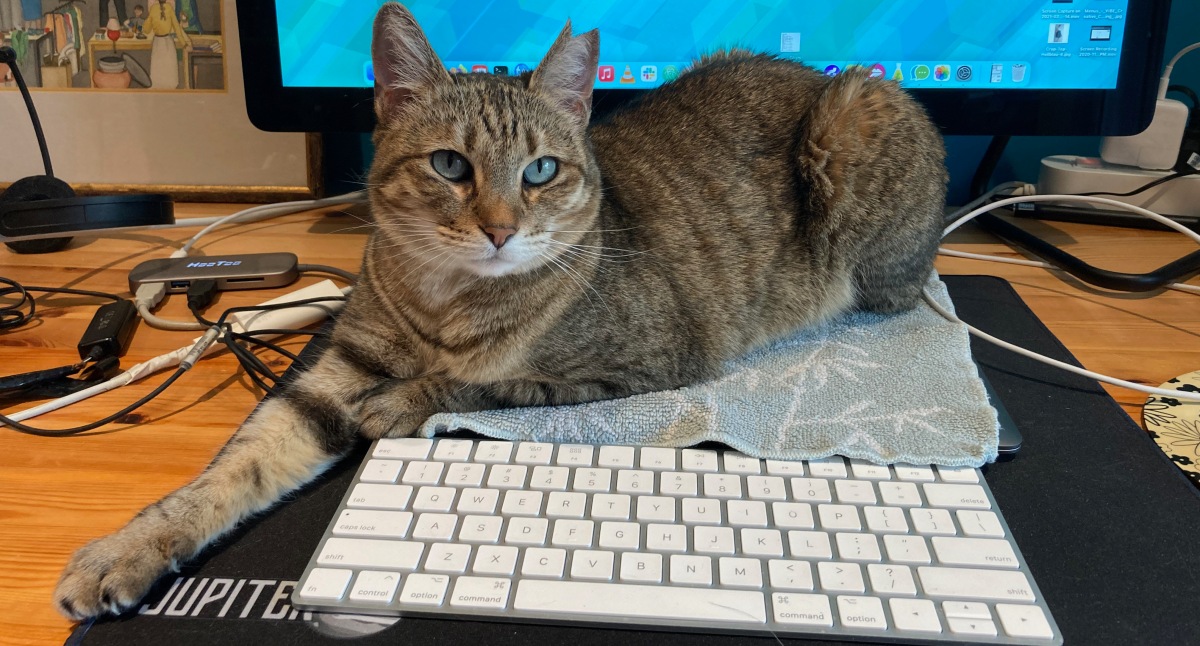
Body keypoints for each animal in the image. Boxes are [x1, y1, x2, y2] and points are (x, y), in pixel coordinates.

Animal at [54, 0, 945, 614]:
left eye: (542, 170)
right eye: (450, 164)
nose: (499, 227)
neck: (447, 298)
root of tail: (832, 77)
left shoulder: (638, 362)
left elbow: (482, 380)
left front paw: (404, 401)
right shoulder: (335, 368)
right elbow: (235, 463)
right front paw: (127, 546)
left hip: (857, 137)